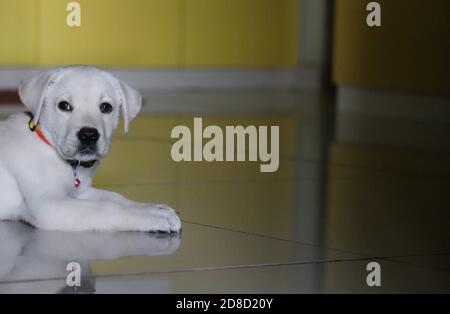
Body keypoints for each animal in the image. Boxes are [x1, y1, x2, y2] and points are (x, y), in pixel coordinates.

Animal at [0, 65, 183, 233]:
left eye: (106, 107)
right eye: (64, 106)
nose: (88, 135)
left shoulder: (81, 192)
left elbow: (115, 197)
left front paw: (153, 208)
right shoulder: (49, 206)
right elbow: (107, 207)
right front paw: (151, 216)